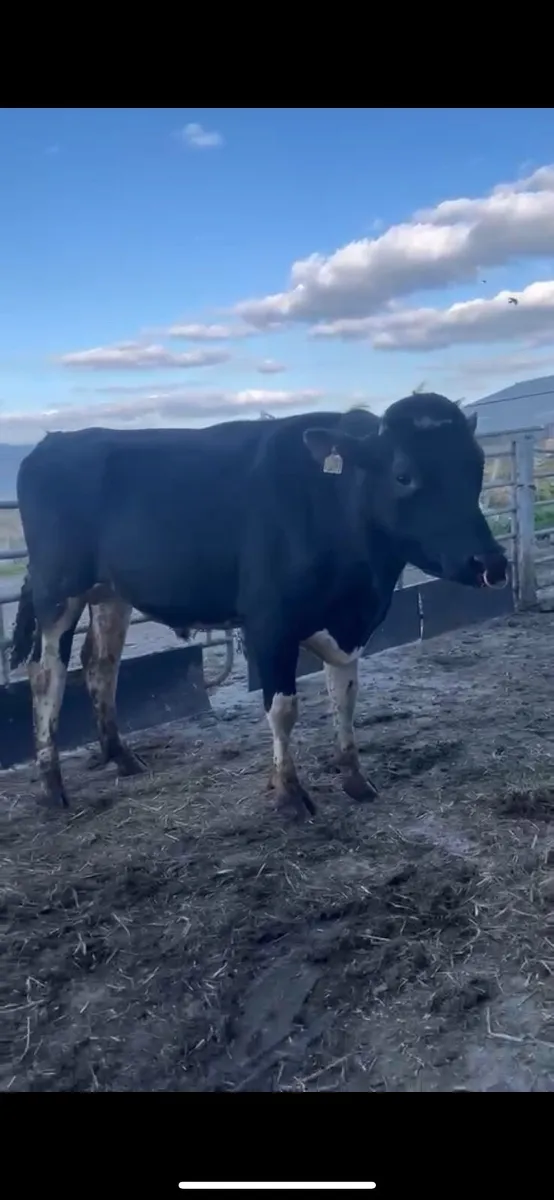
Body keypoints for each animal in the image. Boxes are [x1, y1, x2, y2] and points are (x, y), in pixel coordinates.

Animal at [10, 392, 508, 817]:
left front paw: (355, 779)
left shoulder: (350, 624)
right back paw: (52, 786)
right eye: (404, 475)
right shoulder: (270, 623)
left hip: (111, 592)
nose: (490, 563)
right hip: (57, 591)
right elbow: (283, 709)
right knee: (46, 673)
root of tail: (54, 440)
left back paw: (122, 757)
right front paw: (289, 794)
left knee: (101, 664)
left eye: (477, 465)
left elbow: (344, 697)